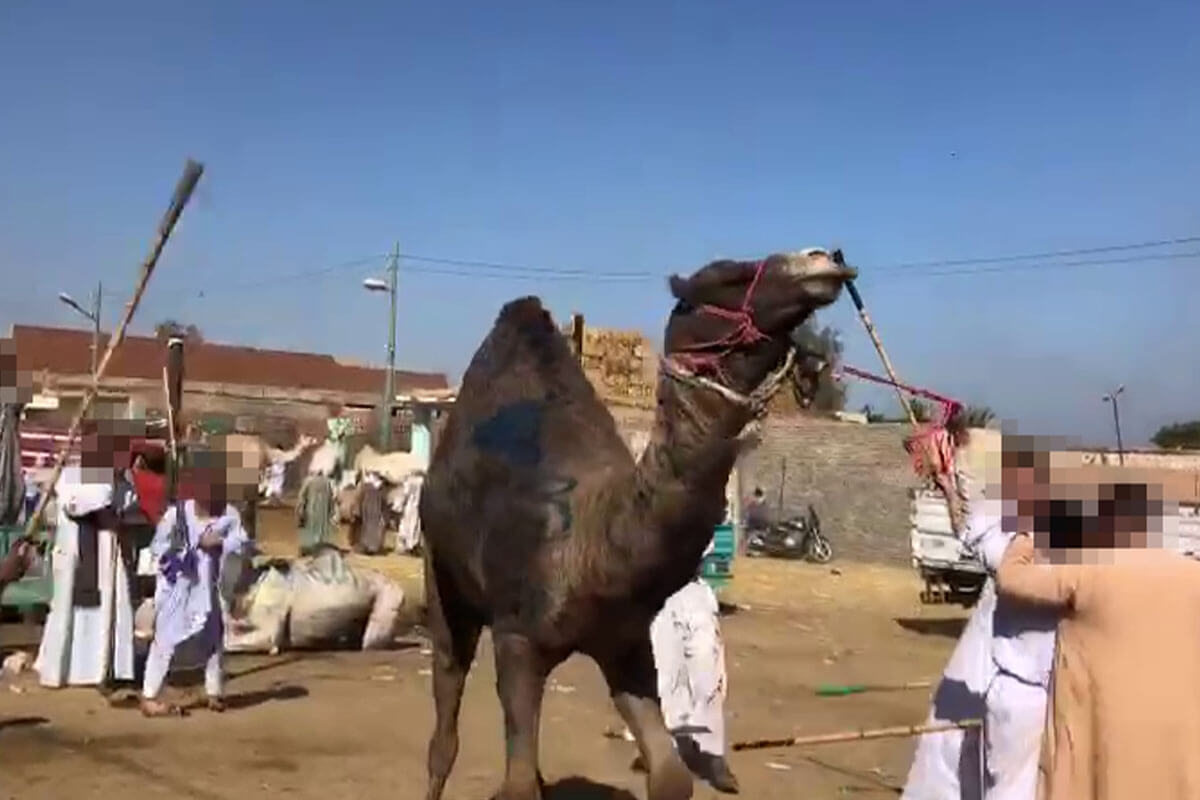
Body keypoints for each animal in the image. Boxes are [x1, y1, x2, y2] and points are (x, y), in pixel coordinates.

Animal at [420, 247, 854, 796]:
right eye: (725, 276)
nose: (822, 260)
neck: (592, 540)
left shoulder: (625, 644)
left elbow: (670, 776)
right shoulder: (516, 639)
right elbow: (517, 786)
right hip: (441, 571)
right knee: (445, 707)